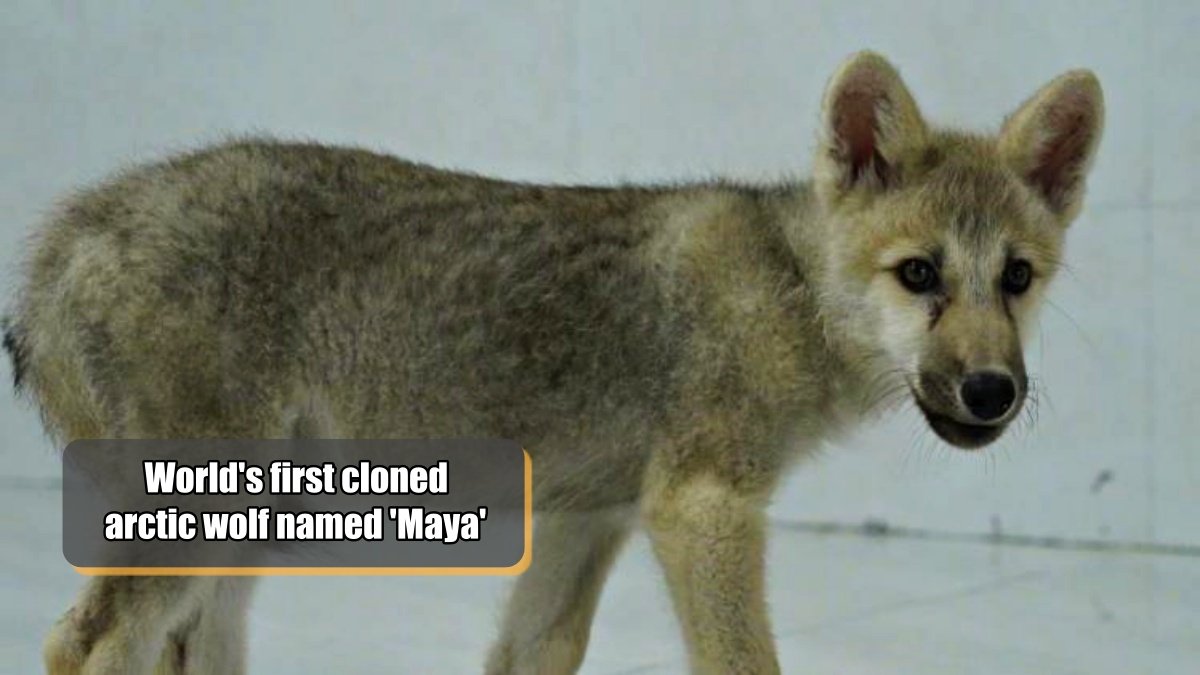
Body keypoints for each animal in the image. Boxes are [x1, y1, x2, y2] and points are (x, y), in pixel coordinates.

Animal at [3, 52, 1103, 674]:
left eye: (1017, 278)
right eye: (919, 274)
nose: (992, 392)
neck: (787, 288)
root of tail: (69, 232)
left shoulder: (586, 524)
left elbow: (530, 653)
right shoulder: (700, 512)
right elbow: (745, 663)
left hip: (242, 543)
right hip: (203, 527)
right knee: (83, 642)